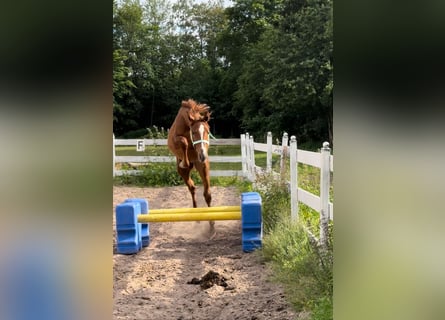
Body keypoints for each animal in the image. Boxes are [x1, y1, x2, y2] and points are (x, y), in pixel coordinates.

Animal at [167, 100, 214, 238]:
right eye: (194, 133)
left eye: (207, 132)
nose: (203, 155)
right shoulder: (176, 139)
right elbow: (183, 141)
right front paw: (185, 162)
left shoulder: (203, 165)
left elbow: (207, 195)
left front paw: (212, 225)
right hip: (183, 173)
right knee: (192, 188)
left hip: (200, 166)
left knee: (196, 189)